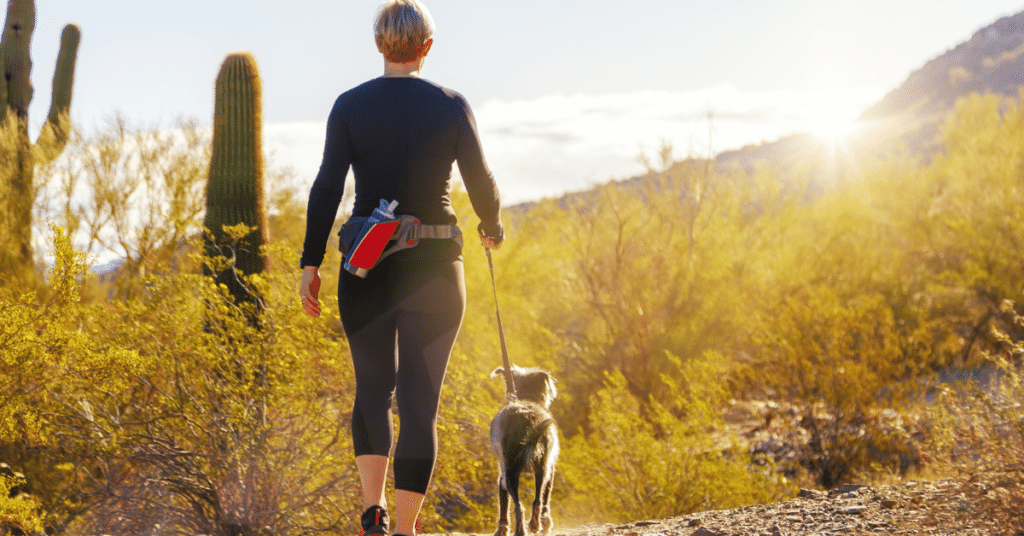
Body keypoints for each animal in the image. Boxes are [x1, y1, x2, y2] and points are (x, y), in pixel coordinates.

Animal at [489, 364, 561, 536]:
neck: (526, 397)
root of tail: (528, 418)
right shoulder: (550, 470)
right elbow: (545, 498)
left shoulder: (502, 477)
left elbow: (504, 505)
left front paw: (501, 529)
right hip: (541, 468)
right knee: (536, 500)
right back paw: (533, 526)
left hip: (511, 473)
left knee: (519, 505)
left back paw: (524, 529)